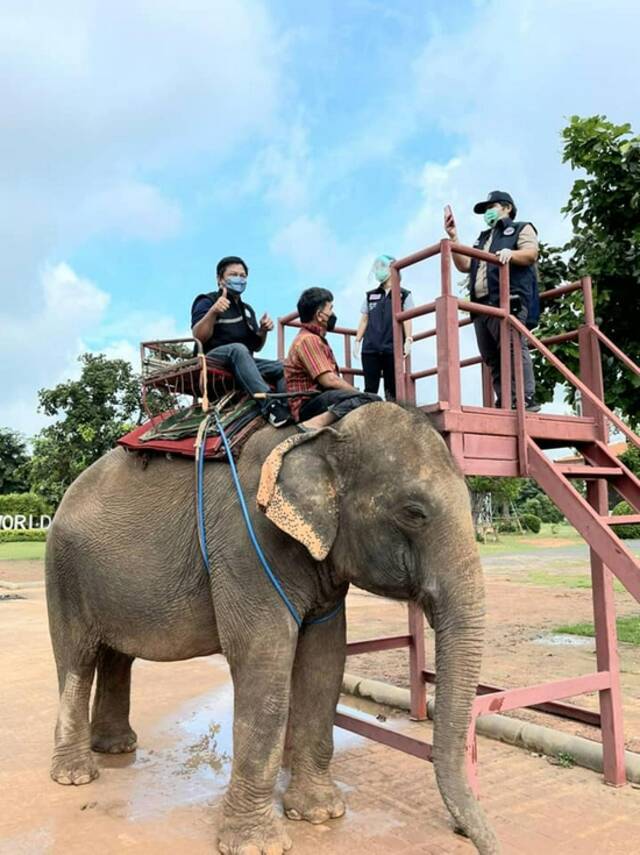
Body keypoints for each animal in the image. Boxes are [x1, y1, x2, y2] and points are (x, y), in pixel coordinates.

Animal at [46, 402, 500, 855]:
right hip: (63, 571)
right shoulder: (247, 547)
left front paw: (320, 813)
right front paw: (257, 845)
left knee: (116, 656)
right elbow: (263, 659)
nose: (469, 836)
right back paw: (76, 776)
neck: (318, 434)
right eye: (413, 513)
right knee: (77, 660)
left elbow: (324, 660)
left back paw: (117, 748)